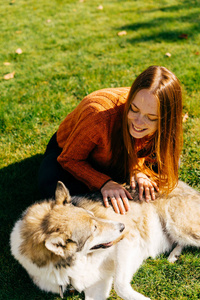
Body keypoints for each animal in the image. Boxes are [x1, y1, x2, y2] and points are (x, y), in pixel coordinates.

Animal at [10, 180, 200, 300]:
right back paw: (174, 255)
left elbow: (120, 285)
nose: (123, 227)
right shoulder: (97, 283)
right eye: (93, 229)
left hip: (179, 226)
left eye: (94, 216)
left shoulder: (128, 242)